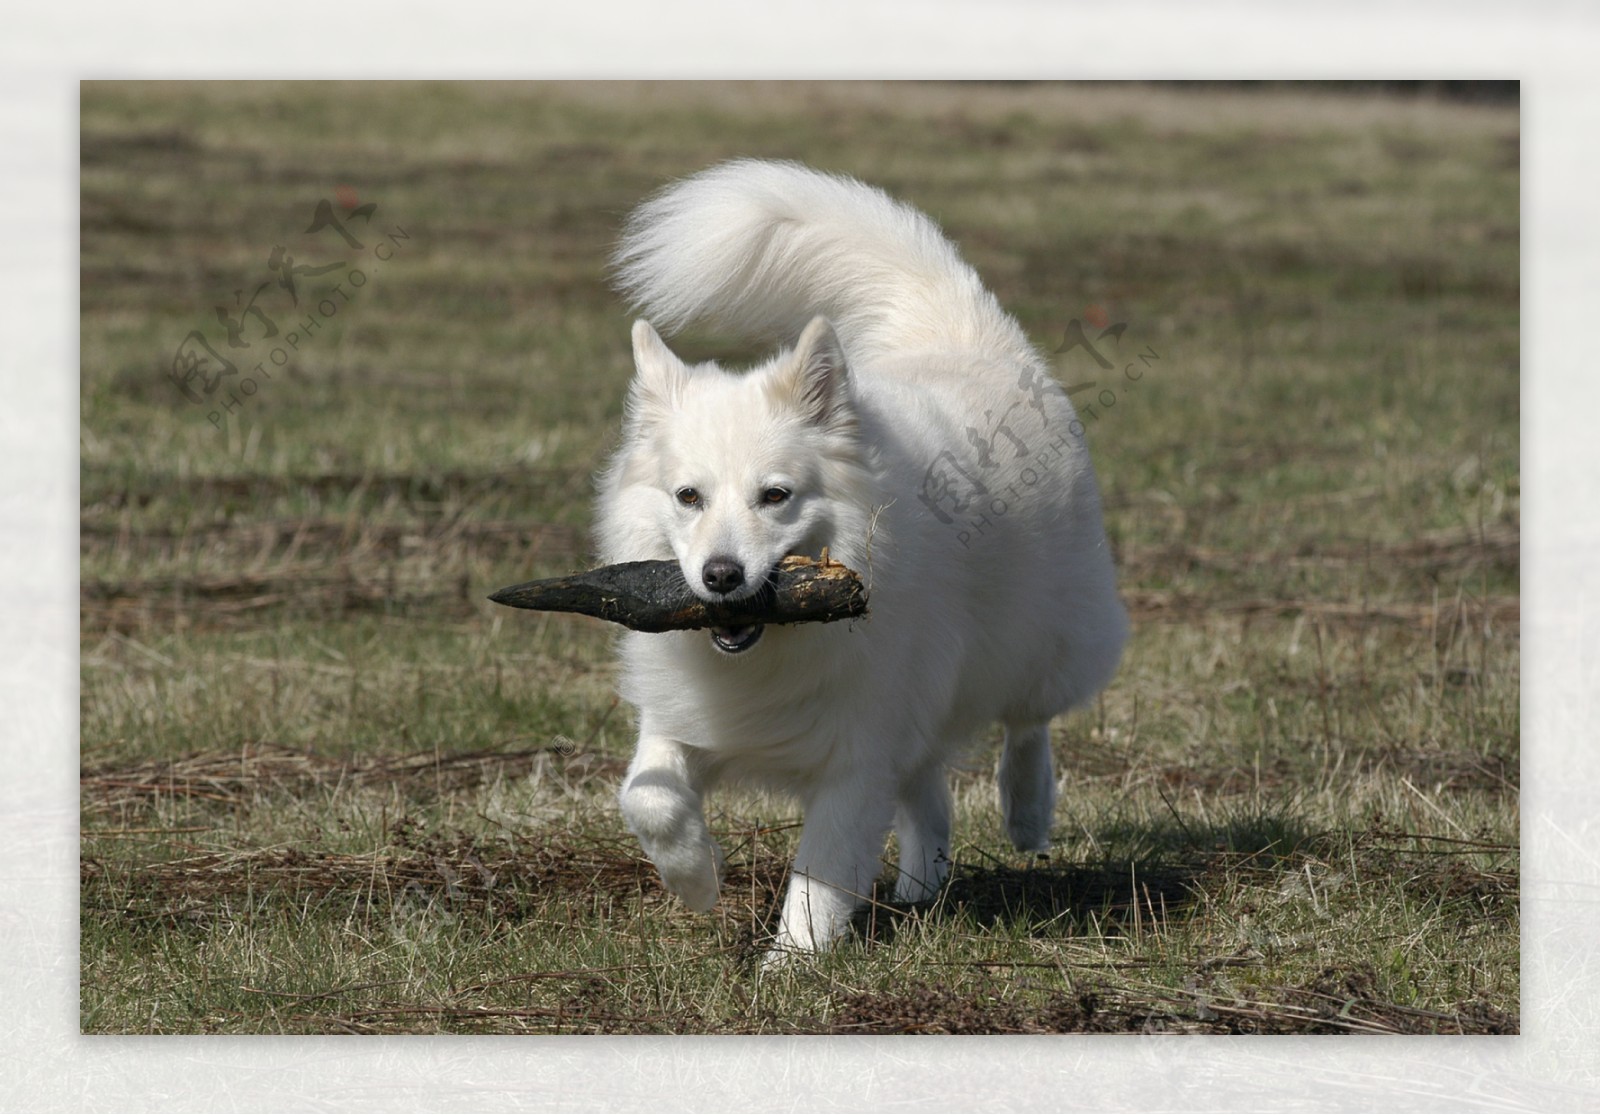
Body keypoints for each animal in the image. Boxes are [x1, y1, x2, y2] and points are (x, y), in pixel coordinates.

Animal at [595, 158, 1132, 959]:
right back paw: (920, 887)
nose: (721, 577)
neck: (774, 646)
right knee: (929, 790)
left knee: (1028, 720)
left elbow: (820, 876)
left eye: (775, 495)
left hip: (1041, 638)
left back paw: (1026, 812)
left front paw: (790, 967)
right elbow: (648, 797)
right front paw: (696, 879)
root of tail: (961, 331)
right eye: (688, 496)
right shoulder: (686, 720)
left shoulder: (856, 756)